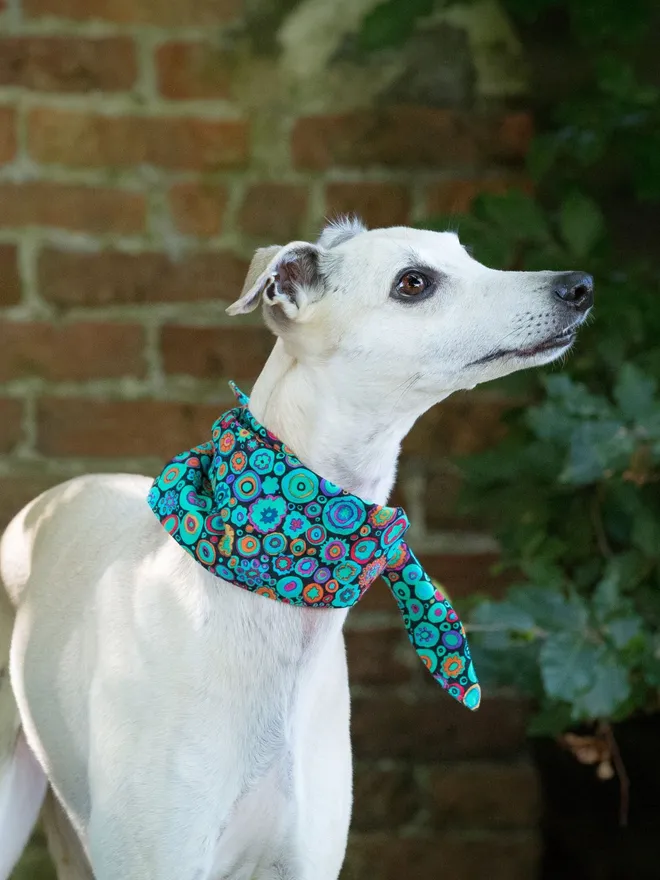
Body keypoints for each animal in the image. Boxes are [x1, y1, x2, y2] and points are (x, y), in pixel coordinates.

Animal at [0, 217, 592, 876]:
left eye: (465, 252)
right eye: (413, 283)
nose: (579, 286)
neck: (273, 583)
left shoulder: (305, 855)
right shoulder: (156, 856)